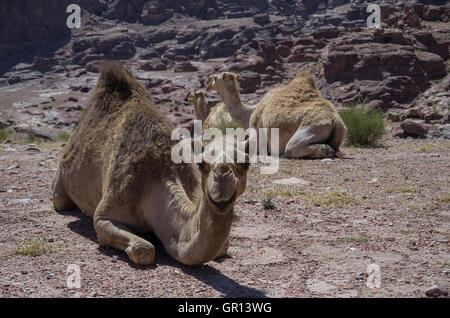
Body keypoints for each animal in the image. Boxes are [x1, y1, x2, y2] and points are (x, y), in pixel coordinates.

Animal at [53, 62, 251, 266]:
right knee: (60, 200)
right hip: (60, 183)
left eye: (246, 163)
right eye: (201, 165)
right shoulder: (105, 213)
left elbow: (224, 246)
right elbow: (144, 249)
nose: (222, 177)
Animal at [206, 71, 346, 158]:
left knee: (293, 148)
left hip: (313, 126)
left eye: (216, 78)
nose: (207, 83)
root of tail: (336, 120)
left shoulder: (256, 133)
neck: (250, 112)